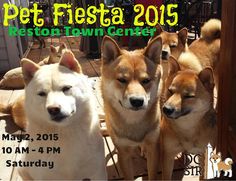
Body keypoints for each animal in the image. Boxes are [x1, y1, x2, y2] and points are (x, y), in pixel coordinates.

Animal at [100, 35, 163, 180]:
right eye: (122, 80)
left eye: (146, 81)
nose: (137, 101)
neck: (134, 122)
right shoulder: (124, 154)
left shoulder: (154, 148)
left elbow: (152, 174)